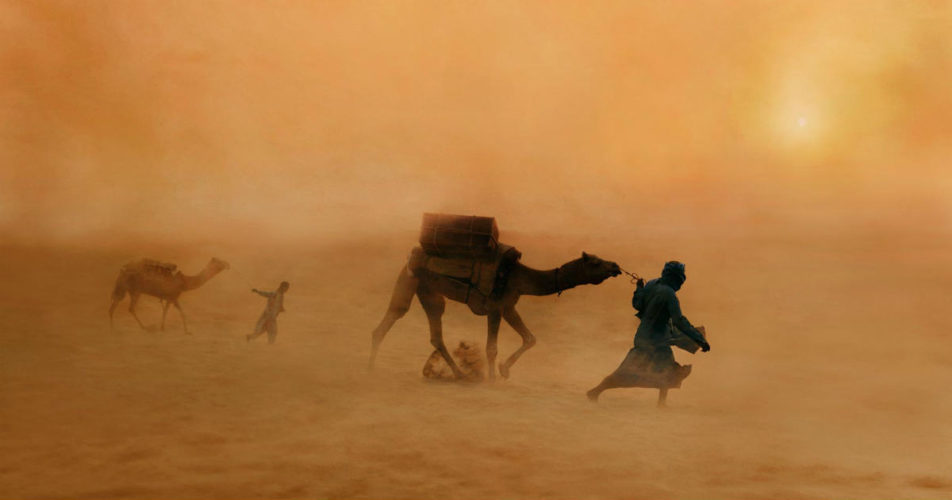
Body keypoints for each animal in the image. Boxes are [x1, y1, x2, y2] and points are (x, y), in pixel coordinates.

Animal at [368, 252, 620, 380]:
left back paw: (458, 373)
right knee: (397, 315)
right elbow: (492, 347)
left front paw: (504, 370)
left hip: (427, 289)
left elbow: (530, 338)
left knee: (428, 328)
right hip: (412, 278)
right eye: (596, 262)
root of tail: (412, 254)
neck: (521, 277)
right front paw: (492, 377)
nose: (615, 266)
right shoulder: (496, 307)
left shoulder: (508, 306)